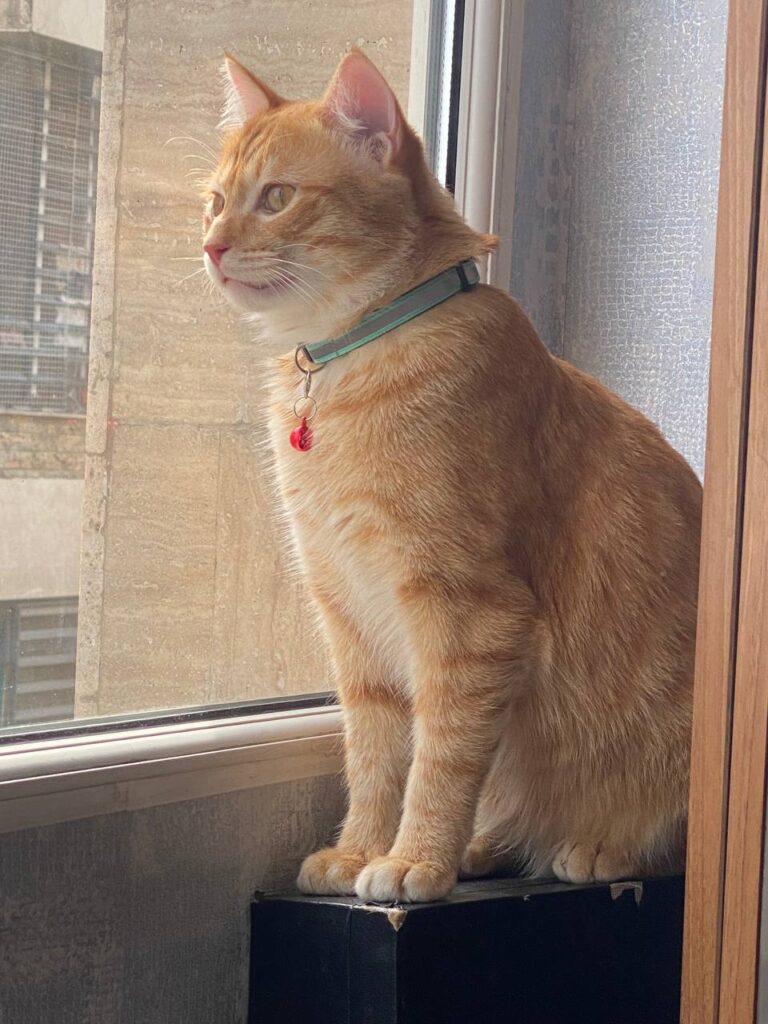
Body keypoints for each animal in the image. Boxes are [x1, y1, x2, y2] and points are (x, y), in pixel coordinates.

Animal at [203, 49, 702, 903]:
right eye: (214, 200)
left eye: (275, 198)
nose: (210, 246)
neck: (350, 357)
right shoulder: (350, 617)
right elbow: (375, 756)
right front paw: (360, 851)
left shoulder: (467, 615)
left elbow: (439, 758)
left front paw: (413, 859)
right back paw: (488, 844)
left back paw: (598, 846)